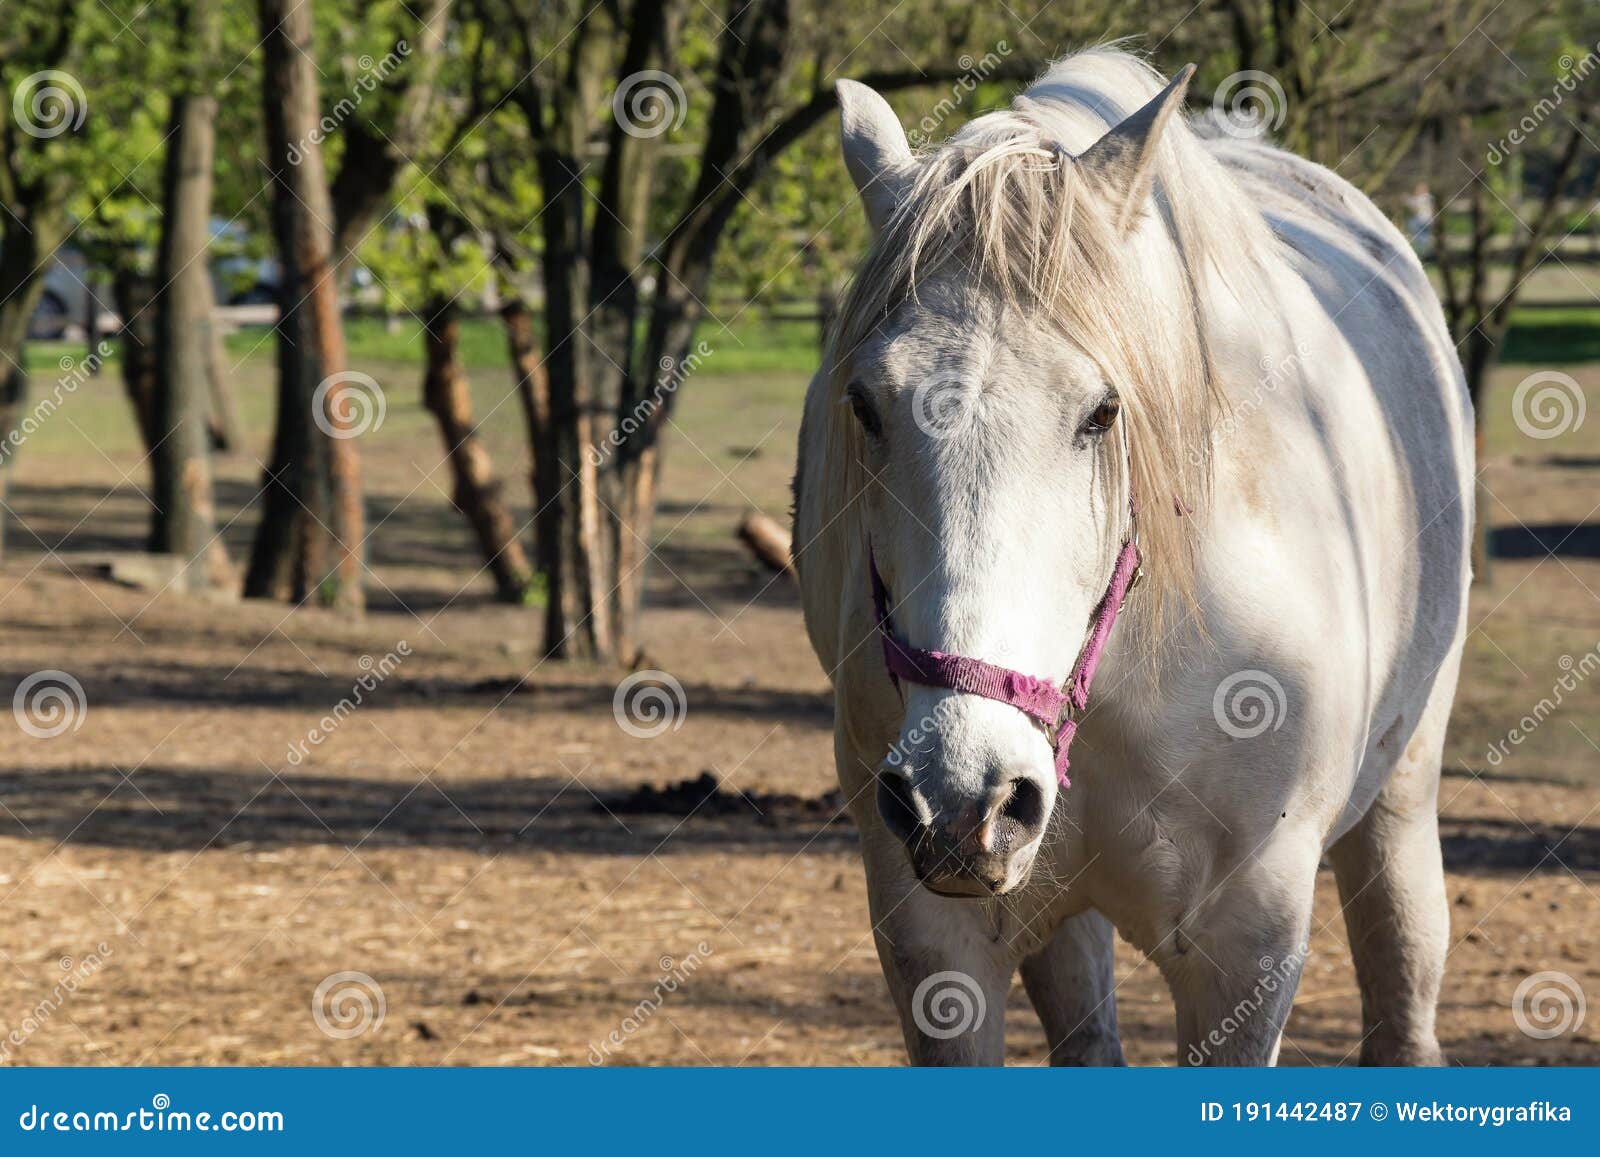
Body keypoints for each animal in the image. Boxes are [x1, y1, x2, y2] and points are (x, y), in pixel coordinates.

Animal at [793, 52, 1465, 1068]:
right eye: (867, 405)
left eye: (1102, 412)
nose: (962, 795)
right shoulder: (934, 939)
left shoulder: (1248, 945)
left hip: (1402, 796)